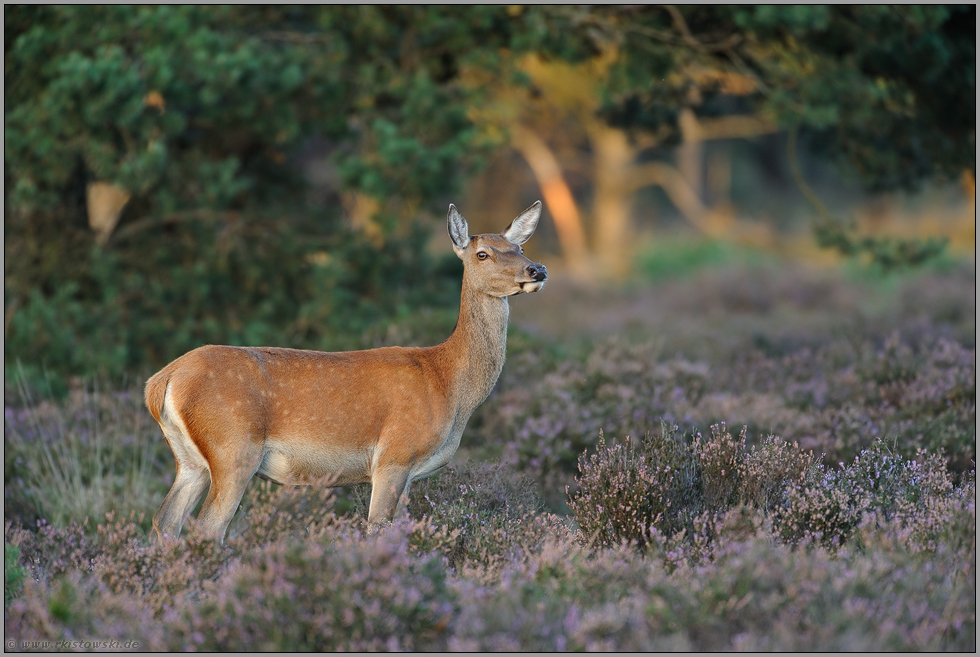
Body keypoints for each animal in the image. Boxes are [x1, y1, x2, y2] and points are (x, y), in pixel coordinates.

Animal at [145, 202, 548, 540]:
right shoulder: (394, 455)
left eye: (519, 248)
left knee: (166, 520)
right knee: (208, 527)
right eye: (482, 253)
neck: (448, 382)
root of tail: (160, 382)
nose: (537, 269)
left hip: (191, 460)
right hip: (234, 447)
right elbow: (377, 530)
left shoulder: (409, 473)